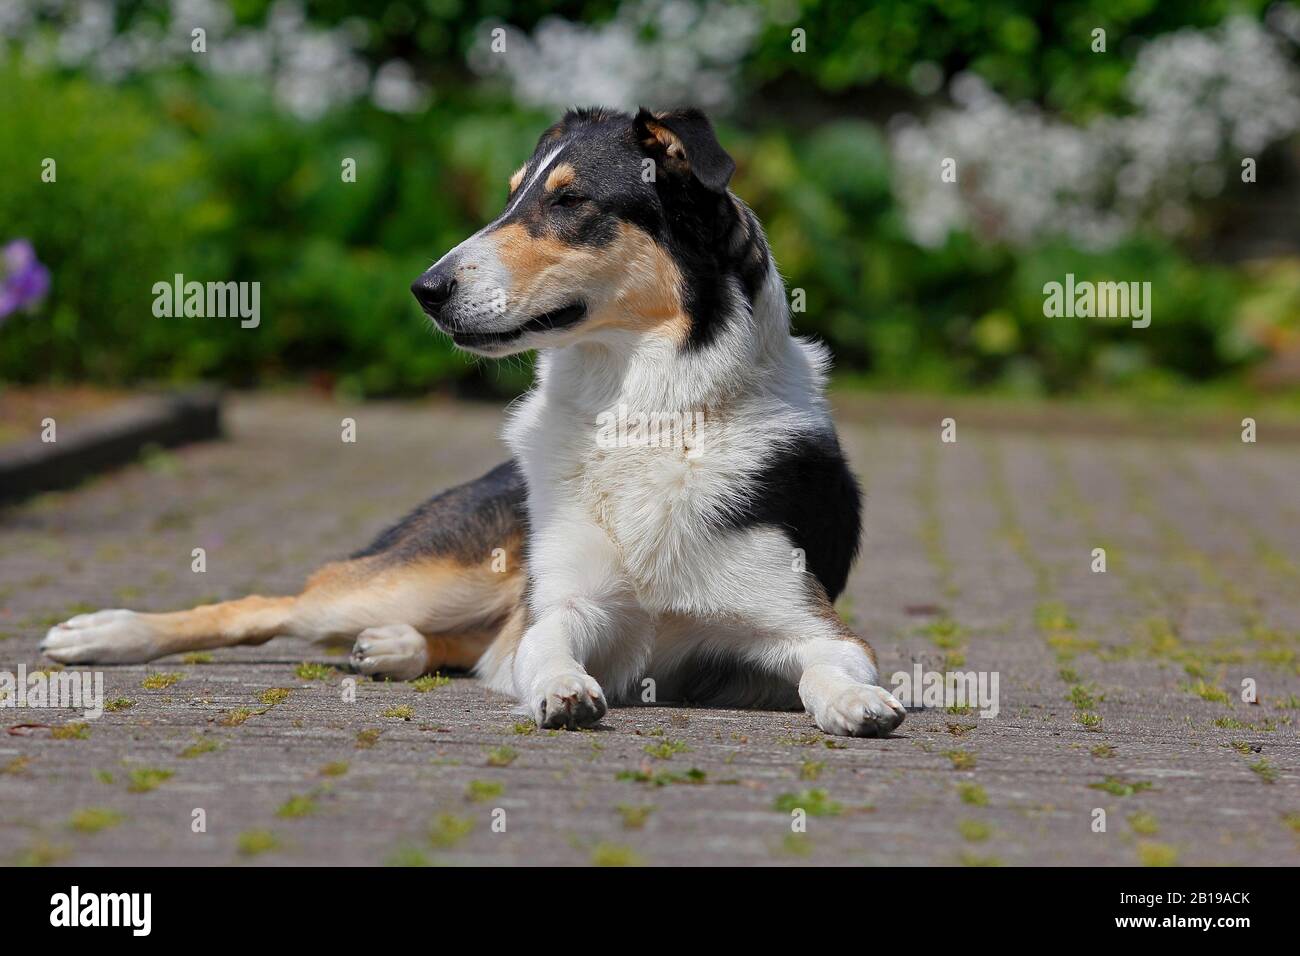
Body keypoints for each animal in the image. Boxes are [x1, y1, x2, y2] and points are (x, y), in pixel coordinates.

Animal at [45, 106, 909, 738]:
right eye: (511, 196)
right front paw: (563, 688)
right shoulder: (566, 606)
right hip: (437, 574)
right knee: (272, 605)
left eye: (570, 201)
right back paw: (102, 632)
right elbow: (547, 646)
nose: (425, 289)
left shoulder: (809, 624)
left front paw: (852, 702)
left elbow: (832, 665)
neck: (643, 417)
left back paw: (393, 649)